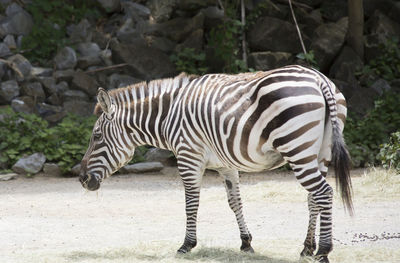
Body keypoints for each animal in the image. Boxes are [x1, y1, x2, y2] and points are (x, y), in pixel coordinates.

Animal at [79, 64, 354, 263]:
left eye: (96, 136)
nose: (82, 179)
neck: (168, 116)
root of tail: (319, 79)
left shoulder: (188, 156)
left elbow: (191, 202)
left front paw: (187, 245)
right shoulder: (226, 164)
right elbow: (235, 202)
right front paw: (246, 242)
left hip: (296, 147)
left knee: (324, 193)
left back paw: (323, 251)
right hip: (319, 153)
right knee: (313, 197)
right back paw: (307, 249)